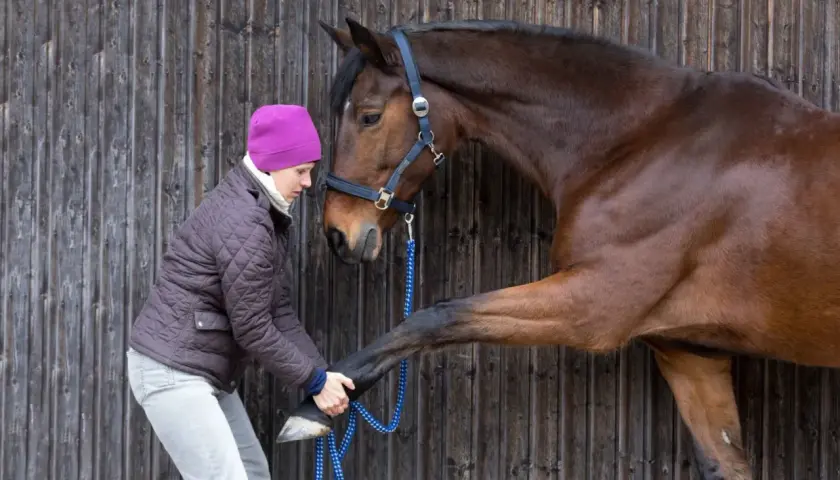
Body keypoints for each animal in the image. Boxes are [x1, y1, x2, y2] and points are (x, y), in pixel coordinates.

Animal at [276, 17, 840, 479]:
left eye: (369, 116)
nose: (338, 234)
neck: (642, 142)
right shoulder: (691, 353)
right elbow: (725, 464)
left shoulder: (594, 306)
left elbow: (436, 317)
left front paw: (316, 405)